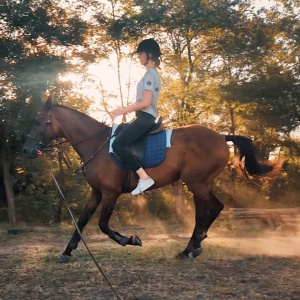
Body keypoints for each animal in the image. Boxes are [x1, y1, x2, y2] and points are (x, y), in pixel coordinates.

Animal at [22, 97, 274, 262]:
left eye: (38, 123)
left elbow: (103, 224)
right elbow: (82, 220)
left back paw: (190, 248)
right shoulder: (96, 192)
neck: (97, 143)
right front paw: (67, 251)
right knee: (210, 210)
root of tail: (221, 137)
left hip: (196, 183)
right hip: (200, 184)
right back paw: (195, 245)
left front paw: (128, 240)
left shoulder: (110, 193)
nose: (26, 150)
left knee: (209, 209)